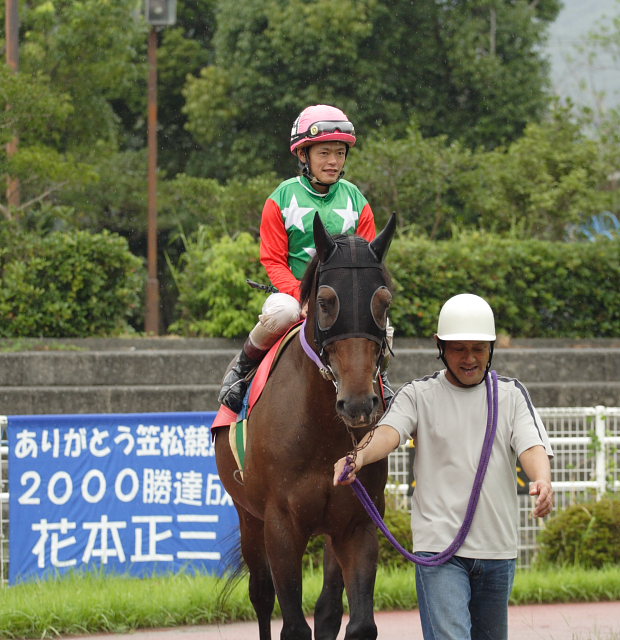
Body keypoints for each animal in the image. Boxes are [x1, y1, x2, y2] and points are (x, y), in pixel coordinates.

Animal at [213, 212, 398, 636]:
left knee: (327, 608)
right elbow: (293, 625)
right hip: (247, 516)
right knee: (262, 595)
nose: (358, 403)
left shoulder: (358, 523)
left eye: (383, 302)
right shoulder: (280, 526)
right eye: (326, 302)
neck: (322, 430)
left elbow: (358, 624)